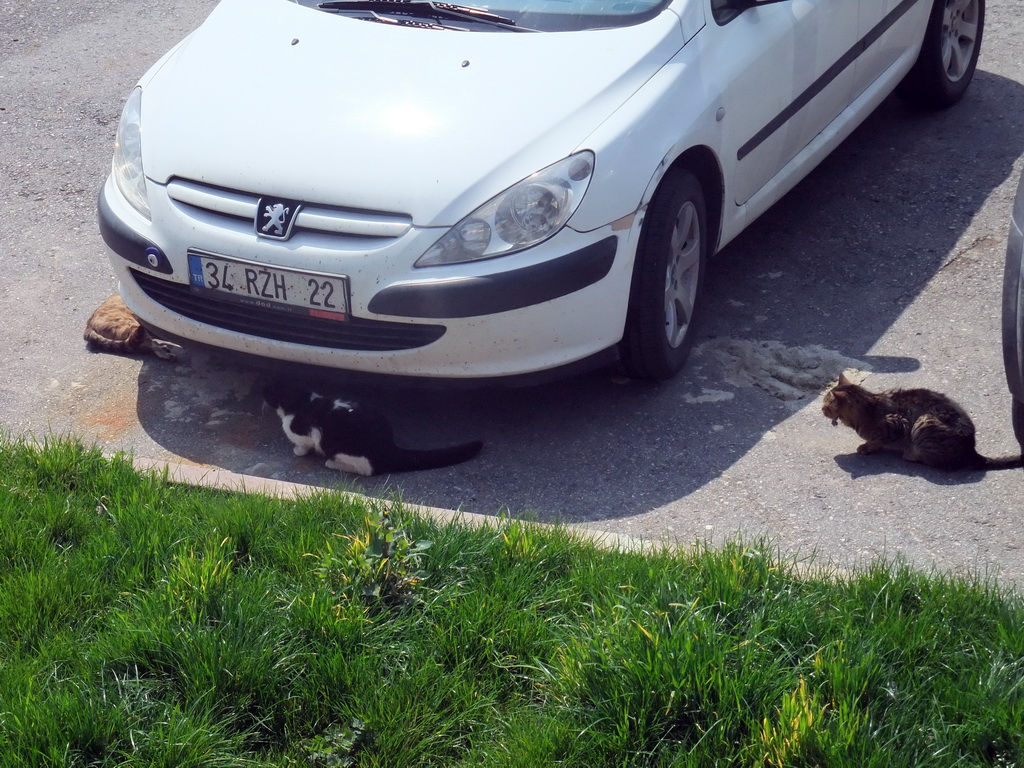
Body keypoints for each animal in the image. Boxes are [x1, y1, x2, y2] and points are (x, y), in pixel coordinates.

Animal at [262, 382, 481, 479]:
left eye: (269, 390)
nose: (263, 393)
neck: (302, 402)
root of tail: (389, 447)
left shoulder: (307, 433)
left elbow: (304, 443)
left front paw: (299, 451)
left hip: (343, 448)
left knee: (366, 470)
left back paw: (332, 463)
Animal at [823, 374, 1024, 473]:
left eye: (825, 403)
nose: (821, 409)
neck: (868, 408)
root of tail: (971, 449)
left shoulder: (896, 424)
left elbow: (877, 440)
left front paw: (866, 447)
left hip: (924, 422)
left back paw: (911, 455)